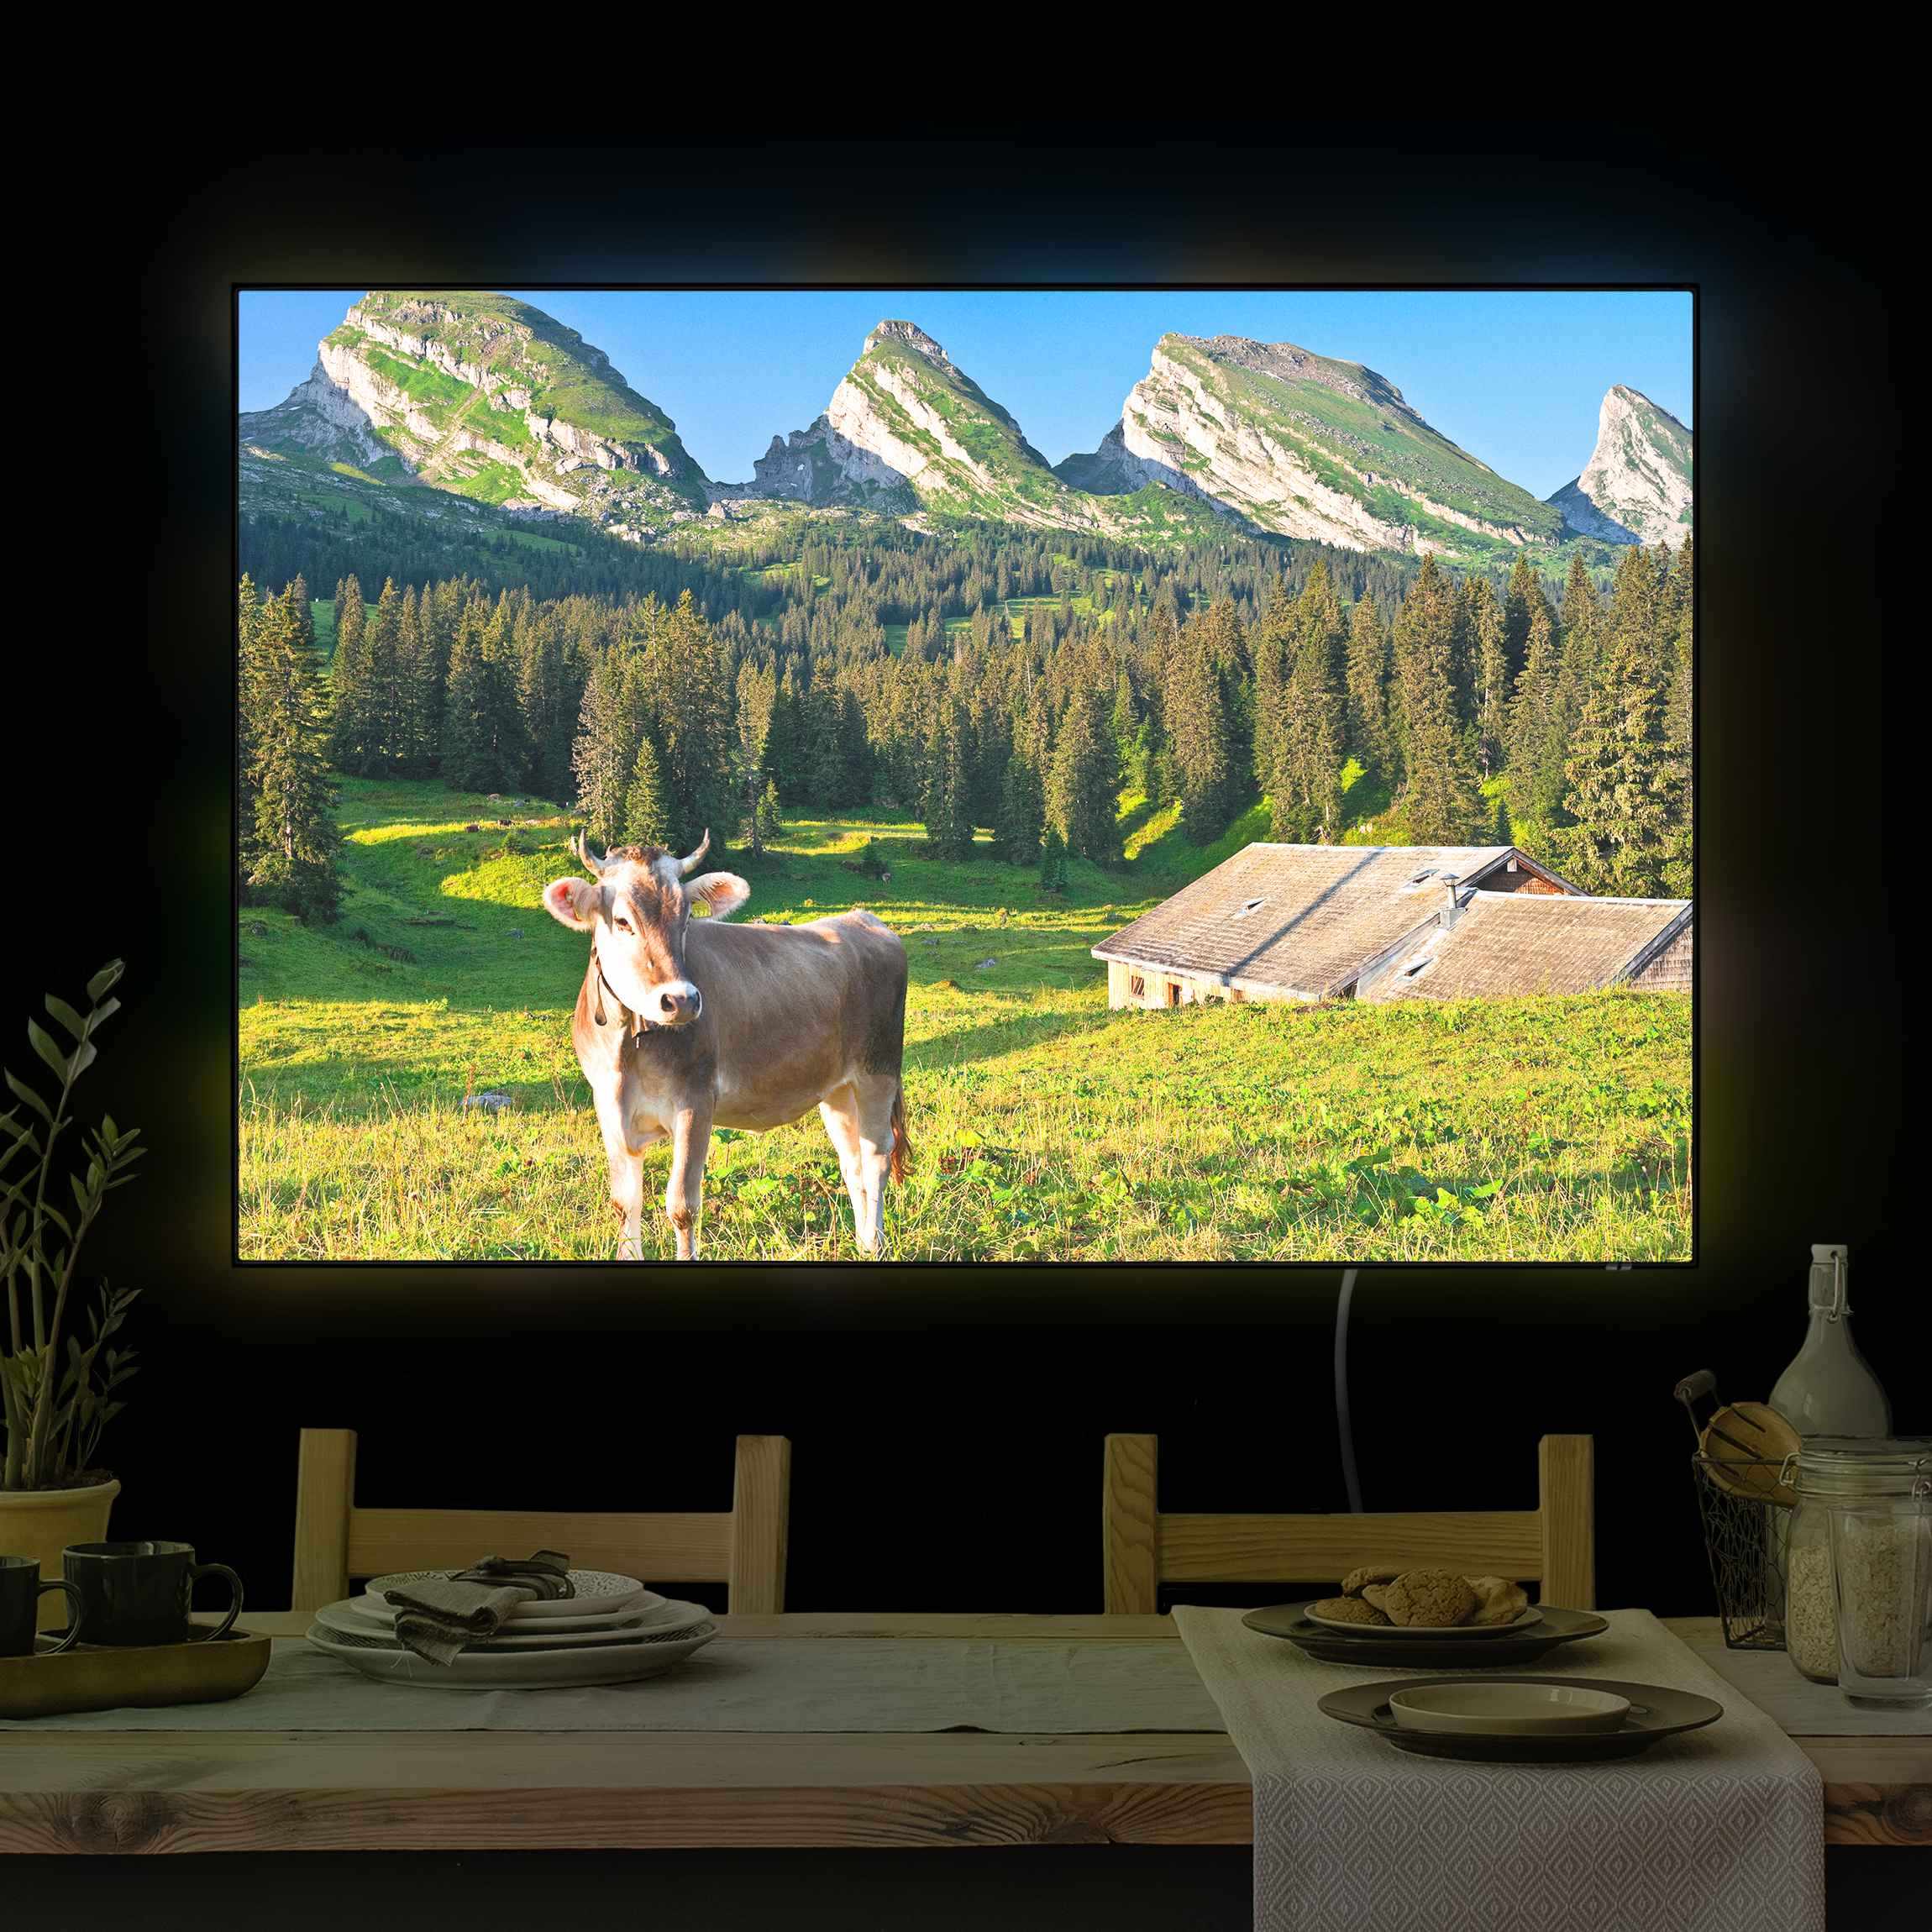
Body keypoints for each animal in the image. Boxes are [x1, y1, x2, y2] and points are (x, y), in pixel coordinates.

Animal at [542, 829, 910, 1261]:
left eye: (687, 917)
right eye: (622, 920)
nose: (681, 1000)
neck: (626, 1053)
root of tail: (864, 919)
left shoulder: (696, 1102)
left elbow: (682, 1206)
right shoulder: (608, 1105)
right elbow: (624, 1202)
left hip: (878, 1070)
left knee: (876, 1157)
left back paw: (877, 1241)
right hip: (838, 1087)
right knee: (852, 1161)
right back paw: (863, 1242)